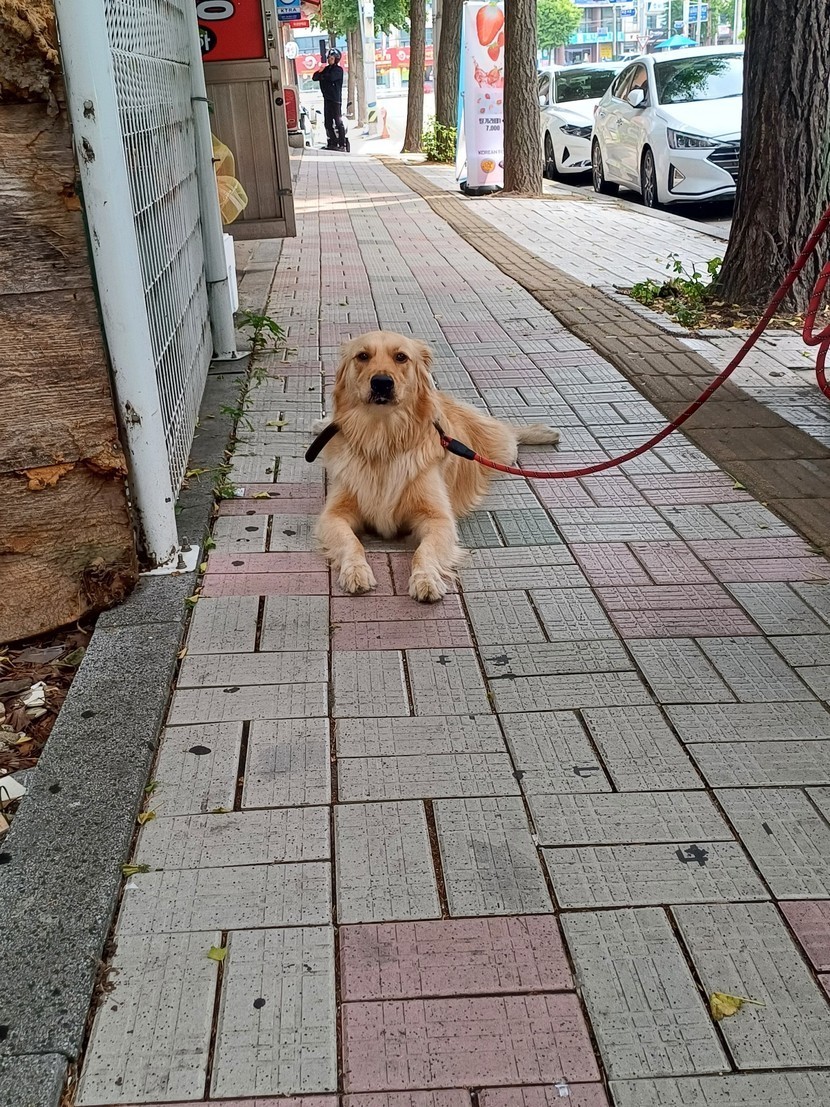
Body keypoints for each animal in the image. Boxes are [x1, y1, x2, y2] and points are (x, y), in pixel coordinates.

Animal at [310, 330, 560, 602]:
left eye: (401, 357)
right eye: (363, 356)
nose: (382, 382)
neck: (383, 438)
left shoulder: (438, 518)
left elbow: (424, 551)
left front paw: (426, 578)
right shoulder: (334, 514)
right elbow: (351, 542)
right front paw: (355, 570)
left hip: (500, 449)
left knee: (511, 432)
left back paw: (540, 433)